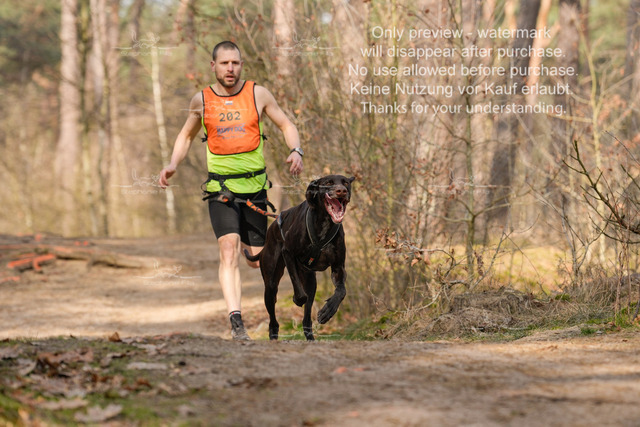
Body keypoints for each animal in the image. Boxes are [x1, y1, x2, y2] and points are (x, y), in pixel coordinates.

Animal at [245, 175, 355, 340]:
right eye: (328, 183)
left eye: (346, 183)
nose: (341, 191)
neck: (325, 222)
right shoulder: (288, 252)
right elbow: (297, 285)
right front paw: (297, 299)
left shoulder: (338, 267)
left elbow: (341, 291)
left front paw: (328, 311)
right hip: (271, 286)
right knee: (273, 319)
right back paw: (274, 334)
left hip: (311, 282)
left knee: (306, 318)